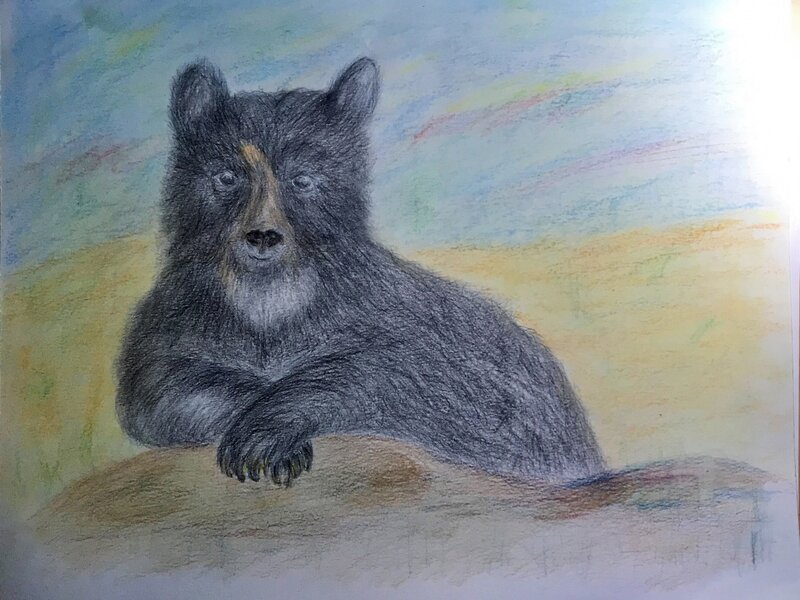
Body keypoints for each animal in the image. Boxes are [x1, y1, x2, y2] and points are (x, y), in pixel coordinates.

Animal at [115, 57, 606, 487]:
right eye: (226, 176)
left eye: (303, 180)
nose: (263, 237)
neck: (270, 304)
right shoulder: (177, 321)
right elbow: (163, 387)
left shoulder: (409, 325)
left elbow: (405, 374)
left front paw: (266, 436)